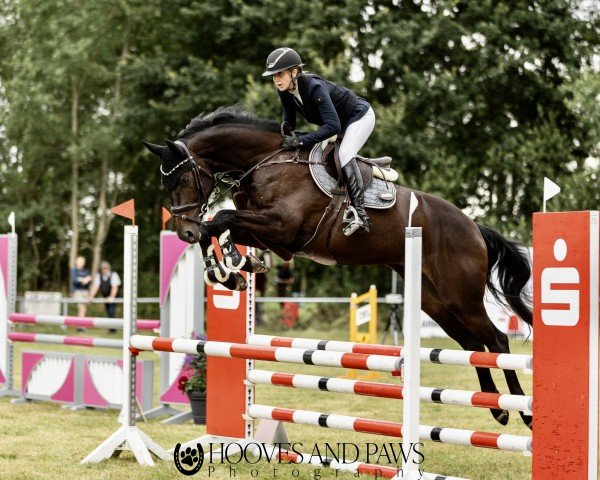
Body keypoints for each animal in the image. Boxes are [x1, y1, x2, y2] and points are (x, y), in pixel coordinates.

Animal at [143, 105, 532, 428]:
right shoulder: (273, 238)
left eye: (182, 179)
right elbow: (218, 225)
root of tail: (474, 227)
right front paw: (230, 270)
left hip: (460, 295)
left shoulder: (282, 227)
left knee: (496, 340)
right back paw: (495, 408)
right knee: (471, 343)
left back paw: (523, 412)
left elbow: (220, 218)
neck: (267, 162)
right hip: (435, 300)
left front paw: (233, 263)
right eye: (166, 182)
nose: (183, 230)